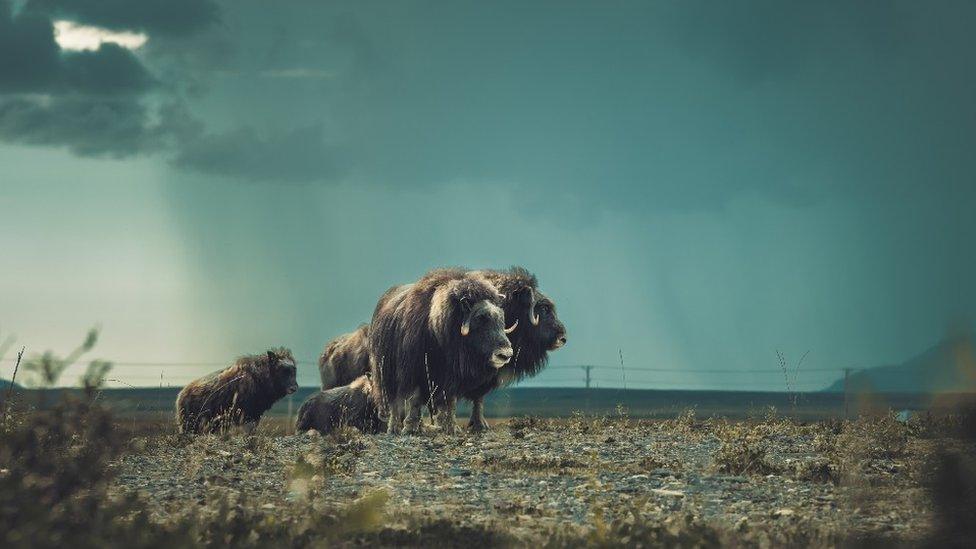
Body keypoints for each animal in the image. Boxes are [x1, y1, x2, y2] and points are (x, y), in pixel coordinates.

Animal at [368, 268, 520, 434]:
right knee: (395, 401)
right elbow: (414, 398)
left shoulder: (452, 377)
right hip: (386, 374)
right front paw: (410, 428)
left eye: (501, 317)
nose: (505, 354)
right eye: (480, 318)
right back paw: (394, 429)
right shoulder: (414, 370)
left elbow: (452, 402)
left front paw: (454, 427)